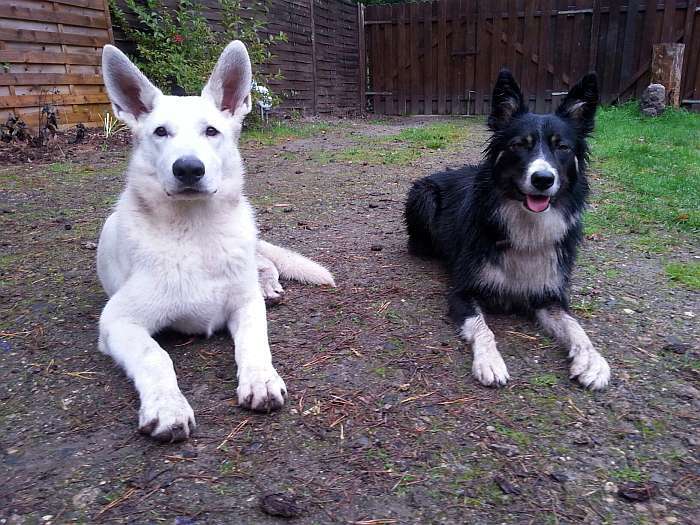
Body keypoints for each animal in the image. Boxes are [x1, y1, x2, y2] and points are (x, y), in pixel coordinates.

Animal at [98, 42, 336, 442]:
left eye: (211, 131)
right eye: (160, 132)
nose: (189, 169)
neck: (195, 232)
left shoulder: (245, 306)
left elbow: (255, 343)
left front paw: (261, 380)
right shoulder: (118, 321)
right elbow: (154, 355)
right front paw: (168, 407)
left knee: (264, 264)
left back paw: (269, 285)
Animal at [408, 69, 608, 388]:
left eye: (562, 147)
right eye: (519, 145)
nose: (543, 179)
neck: (526, 227)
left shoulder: (548, 293)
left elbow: (575, 326)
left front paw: (593, 361)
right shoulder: (462, 292)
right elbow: (482, 326)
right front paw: (489, 361)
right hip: (423, 196)